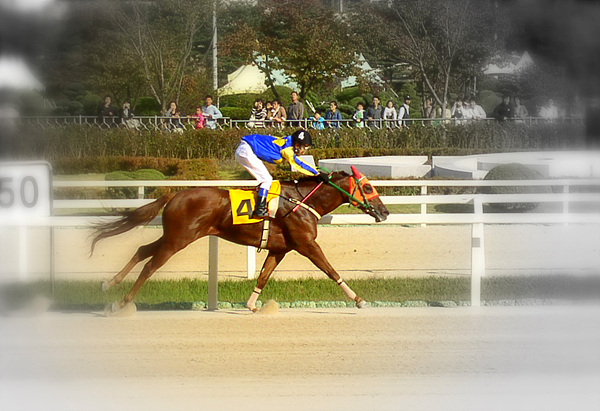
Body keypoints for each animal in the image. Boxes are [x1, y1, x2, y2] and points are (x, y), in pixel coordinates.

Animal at [92, 166, 389, 314]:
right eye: (367, 187)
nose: (385, 212)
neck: (302, 202)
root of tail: (174, 194)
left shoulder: (280, 249)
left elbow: (264, 276)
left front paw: (252, 305)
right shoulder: (306, 244)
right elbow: (330, 270)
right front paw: (359, 299)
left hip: (173, 236)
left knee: (142, 250)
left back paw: (109, 284)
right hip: (178, 239)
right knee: (150, 265)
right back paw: (121, 302)